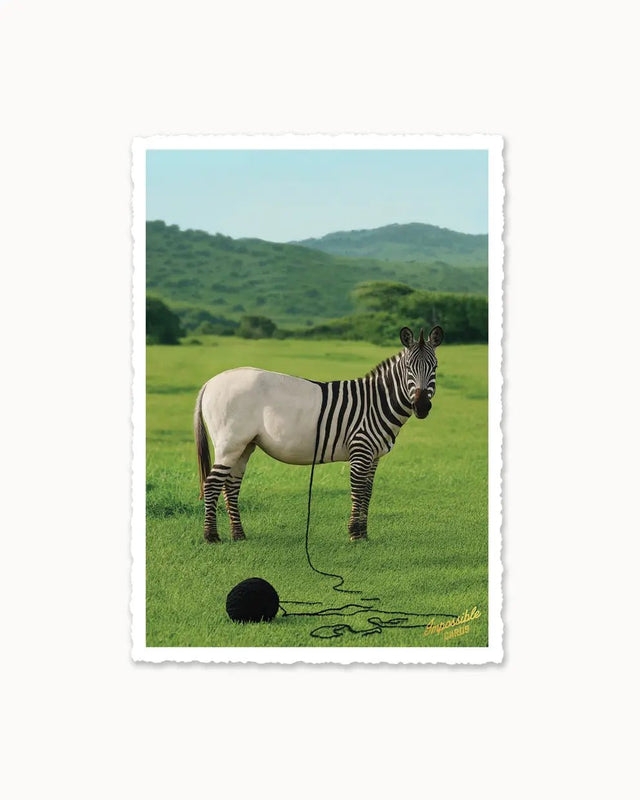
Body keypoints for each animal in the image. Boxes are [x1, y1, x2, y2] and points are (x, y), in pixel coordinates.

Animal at [193, 325, 444, 543]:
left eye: (435, 368)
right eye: (409, 368)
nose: (422, 407)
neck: (375, 404)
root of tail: (211, 382)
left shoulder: (374, 456)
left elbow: (367, 492)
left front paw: (363, 534)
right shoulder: (360, 449)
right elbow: (357, 490)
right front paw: (355, 534)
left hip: (245, 445)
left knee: (230, 484)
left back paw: (239, 535)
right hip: (230, 443)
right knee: (212, 484)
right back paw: (211, 537)